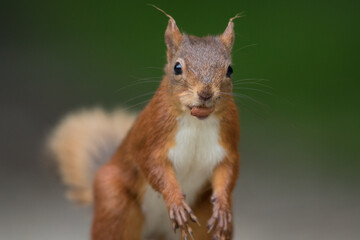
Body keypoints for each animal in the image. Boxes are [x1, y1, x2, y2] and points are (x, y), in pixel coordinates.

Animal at [47, 9, 239, 240]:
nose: (205, 93)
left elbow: (228, 171)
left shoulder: (228, 140)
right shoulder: (152, 134)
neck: (197, 122)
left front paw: (222, 207)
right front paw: (176, 201)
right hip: (114, 205)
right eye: (177, 67)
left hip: (202, 217)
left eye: (230, 70)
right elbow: (153, 166)